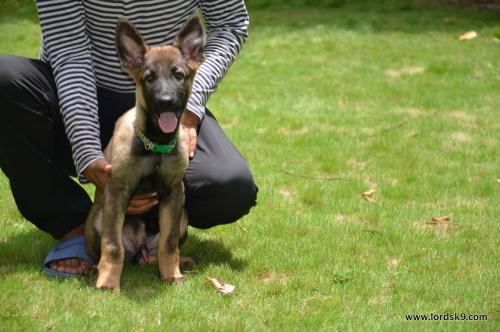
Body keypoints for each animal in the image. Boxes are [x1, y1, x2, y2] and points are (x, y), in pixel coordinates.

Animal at [86, 15, 205, 290]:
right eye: (149, 78)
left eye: (178, 75)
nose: (165, 101)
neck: (155, 144)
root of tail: (139, 249)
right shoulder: (116, 191)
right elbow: (112, 246)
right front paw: (108, 282)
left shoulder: (173, 193)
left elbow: (169, 245)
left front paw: (172, 275)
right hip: (97, 217)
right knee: (105, 251)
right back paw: (93, 269)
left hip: (182, 217)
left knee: (156, 252)